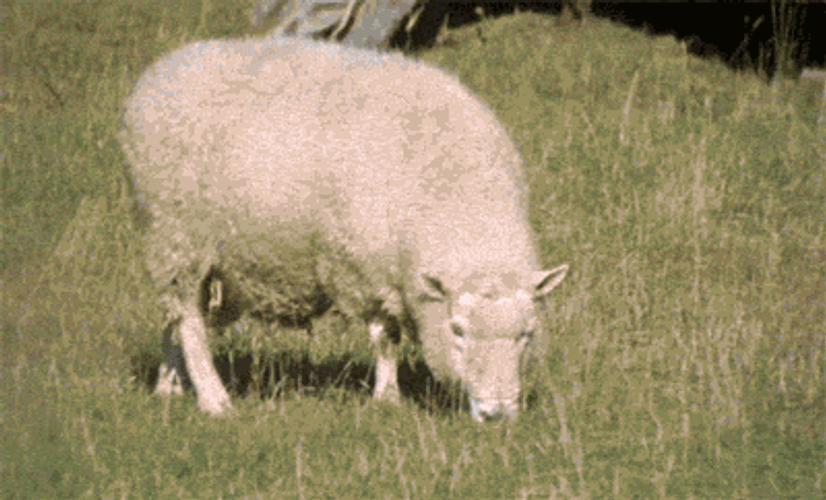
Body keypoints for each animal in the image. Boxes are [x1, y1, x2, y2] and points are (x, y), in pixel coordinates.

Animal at [121, 34, 569, 422]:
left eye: (527, 334)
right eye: (457, 330)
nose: (497, 415)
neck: (460, 200)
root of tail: (163, 68)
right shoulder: (364, 268)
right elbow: (385, 337)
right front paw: (387, 398)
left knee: (174, 317)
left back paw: (169, 385)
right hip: (176, 234)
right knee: (189, 321)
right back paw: (214, 400)